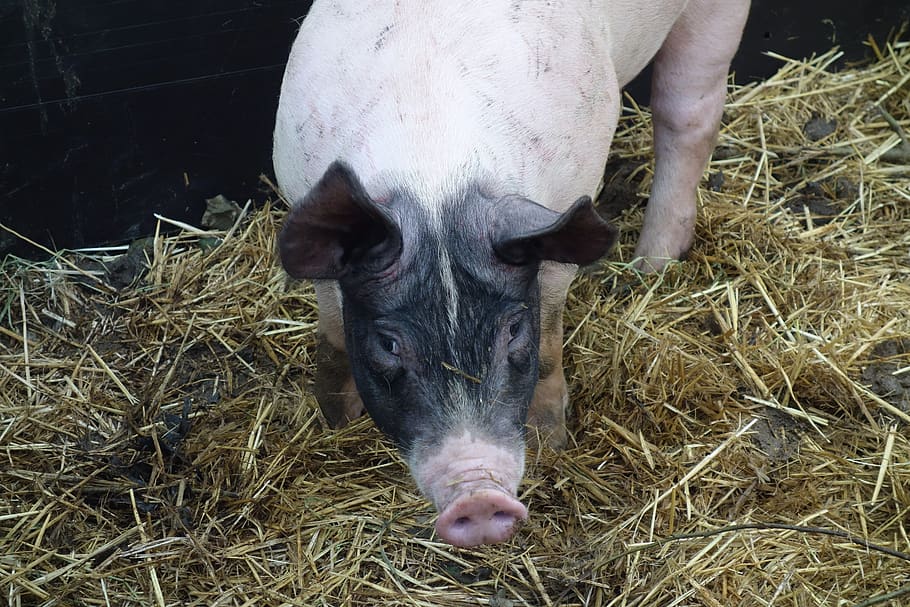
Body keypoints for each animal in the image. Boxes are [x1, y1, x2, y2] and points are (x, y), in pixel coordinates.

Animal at [274, 0, 749, 547]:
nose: (479, 498)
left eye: (514, 327)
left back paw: (649, 269)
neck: (435, 174)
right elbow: (332, 334)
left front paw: (551, 444)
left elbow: (548, 344)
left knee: (687, 115)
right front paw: (335, 421)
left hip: (716, 18)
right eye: (389, 344)